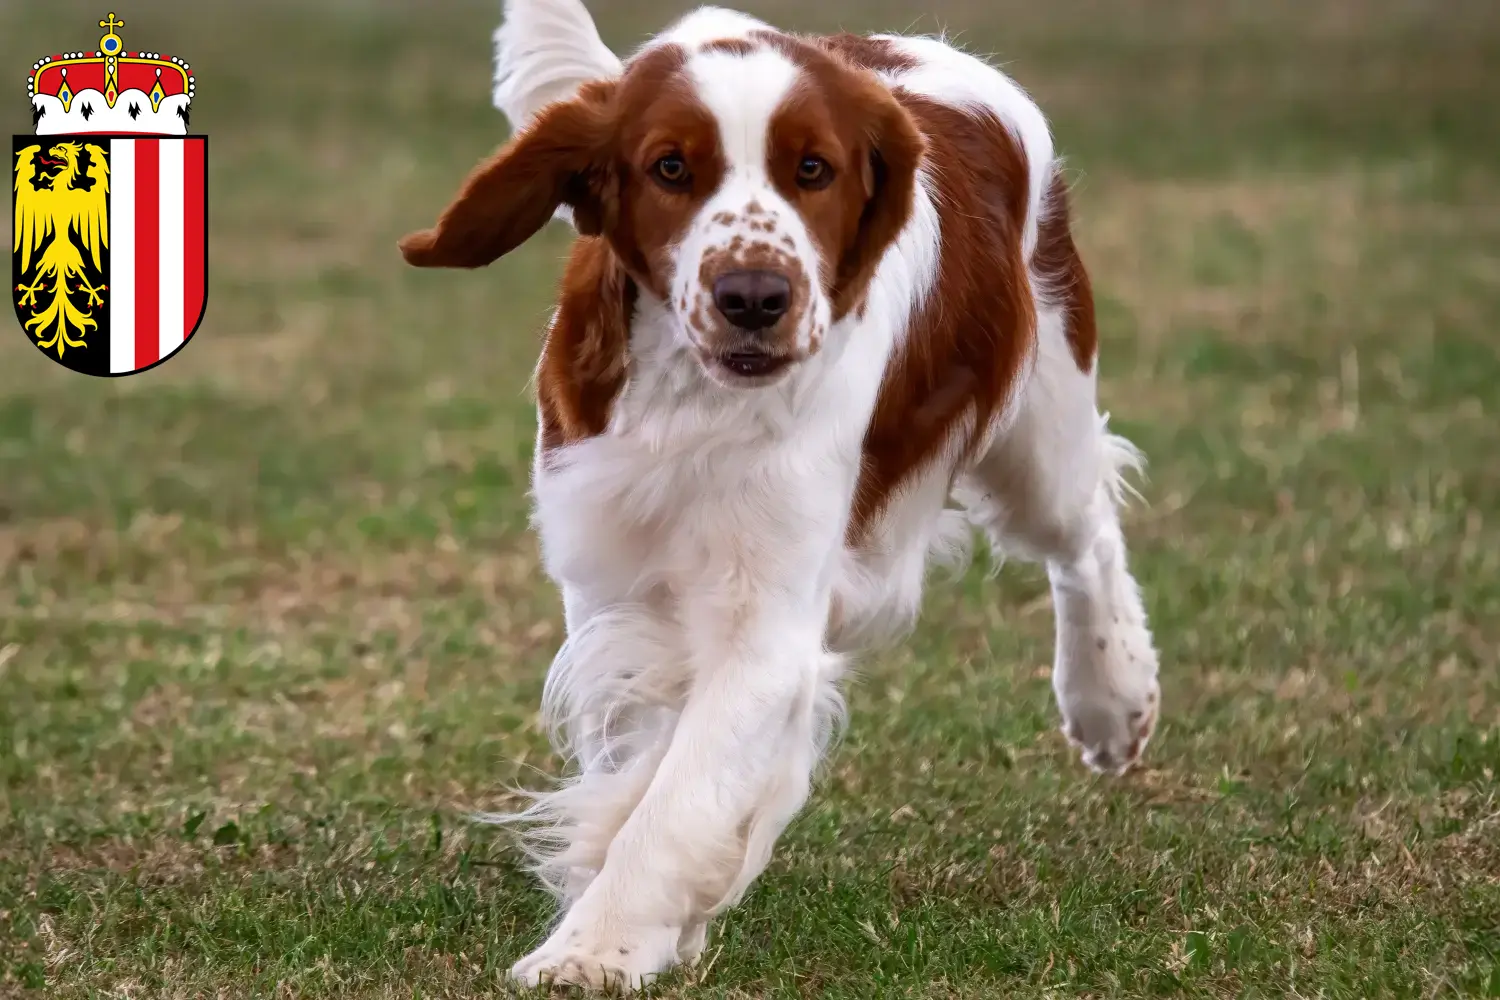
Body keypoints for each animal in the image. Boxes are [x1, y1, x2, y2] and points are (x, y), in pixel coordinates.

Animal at [399, 1, 1158, 995]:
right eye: (670, 167)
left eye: (814, 170)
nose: (754, 297)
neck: (695, 395)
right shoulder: (610, 575)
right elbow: (644, 751)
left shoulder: (766, 621)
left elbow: (679, 796)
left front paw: (596, 947)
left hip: (1040, 425)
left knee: (1084, 534)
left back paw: (1113, 698)